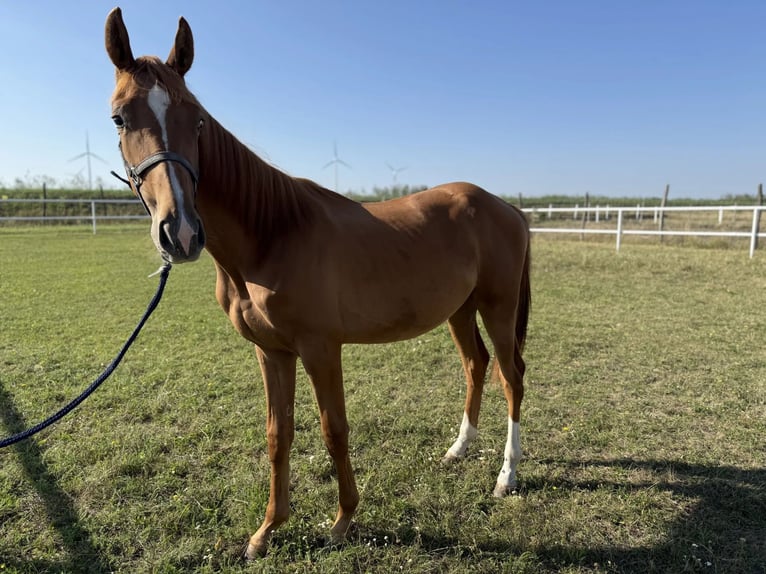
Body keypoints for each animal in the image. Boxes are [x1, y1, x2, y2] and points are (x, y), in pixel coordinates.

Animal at [104, 7, 531, 559]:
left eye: (196, 118)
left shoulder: (321, 348)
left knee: (511, 376)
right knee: (476, 365)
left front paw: (343, 520)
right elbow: (278, 435)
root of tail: (508, 208)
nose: (180, 232)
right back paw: (459, 449)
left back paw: (507, 476)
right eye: (119, 117)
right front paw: (266, 531)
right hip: (460, 309)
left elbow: (334, 430)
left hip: (498, 307)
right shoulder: (272, 351)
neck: (273, 233)